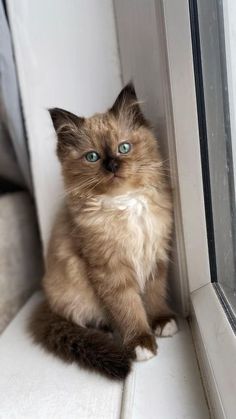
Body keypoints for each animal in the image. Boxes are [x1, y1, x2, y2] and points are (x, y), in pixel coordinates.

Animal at [30, 84, 177, 380]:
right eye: (92, 157)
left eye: (124, 148)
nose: (112, 166)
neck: (125, 203)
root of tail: (46, 299)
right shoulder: (110, 270)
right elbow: (129, 308)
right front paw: (140, 343)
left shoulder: (155, 255)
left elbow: (155, 296)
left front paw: (161, 321)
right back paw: (107, 331)